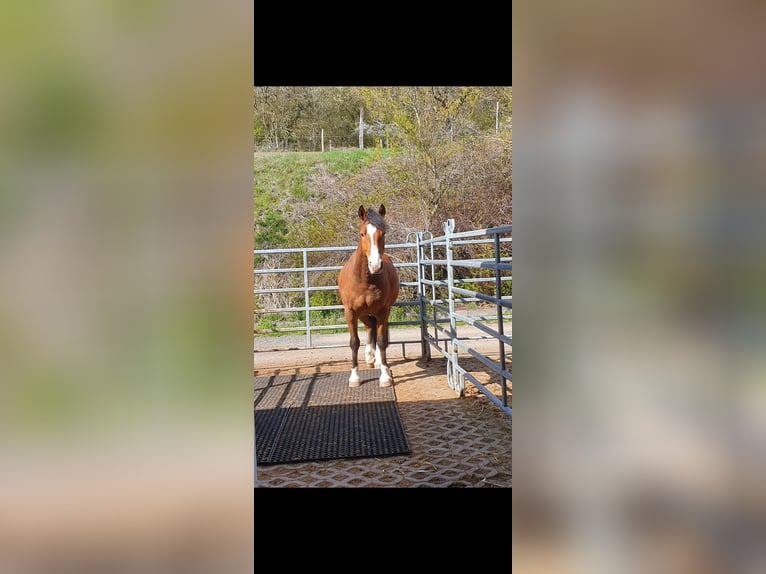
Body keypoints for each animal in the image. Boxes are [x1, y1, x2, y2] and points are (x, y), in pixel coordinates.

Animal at [340, 205, 402, 390]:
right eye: (362, 234)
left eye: (383, 233)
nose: (375, 265)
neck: (365, 280)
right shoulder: (350, 312)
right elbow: (354, 342)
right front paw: (354, 377)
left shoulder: (382, 311)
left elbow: (381, 341)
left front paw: (385, 376)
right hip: (362, 313)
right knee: (369, 327)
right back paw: (369, 356)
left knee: (374, 330)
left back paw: (378, 360)